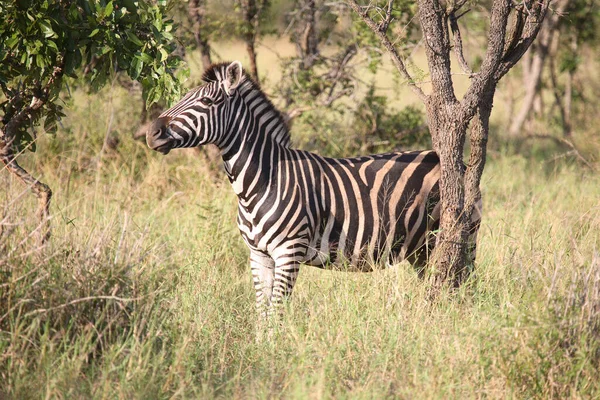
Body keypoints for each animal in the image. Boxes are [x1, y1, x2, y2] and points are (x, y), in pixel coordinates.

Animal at [146, 60, 482, 318]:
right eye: (183, 97)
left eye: (208, 102)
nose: (152, 132)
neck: (260, 182)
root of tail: (447, 160)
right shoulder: (258, 255)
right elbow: (261, 311)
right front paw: (258, 350)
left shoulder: (288, 252)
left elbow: (276, 312)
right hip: (420, 250)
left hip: (456, 239)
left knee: (464, 285)